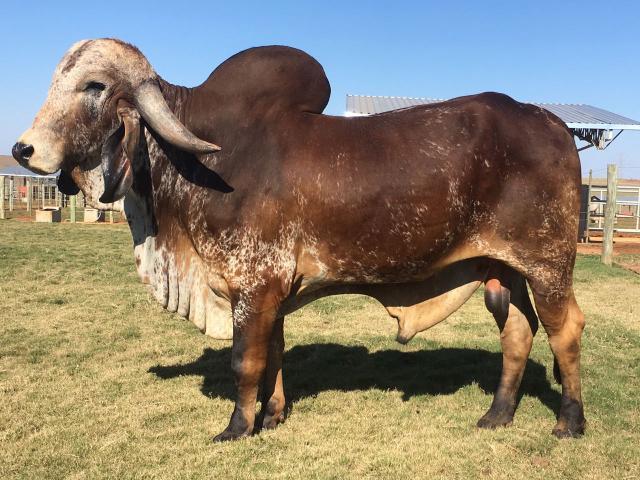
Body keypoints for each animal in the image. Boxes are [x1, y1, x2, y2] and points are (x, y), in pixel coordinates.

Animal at [12, 39, 588, 440]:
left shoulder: (254, 283)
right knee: (516, 332)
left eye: (93, 87)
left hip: (549, 264)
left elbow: (245, 360)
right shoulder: (269, 292)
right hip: (503, 270)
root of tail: (553, 122)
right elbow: (274, 354)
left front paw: (237, 427)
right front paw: (271, 417)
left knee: (566, 330)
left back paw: (569, 422)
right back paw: (497, 414)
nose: (23, 149)